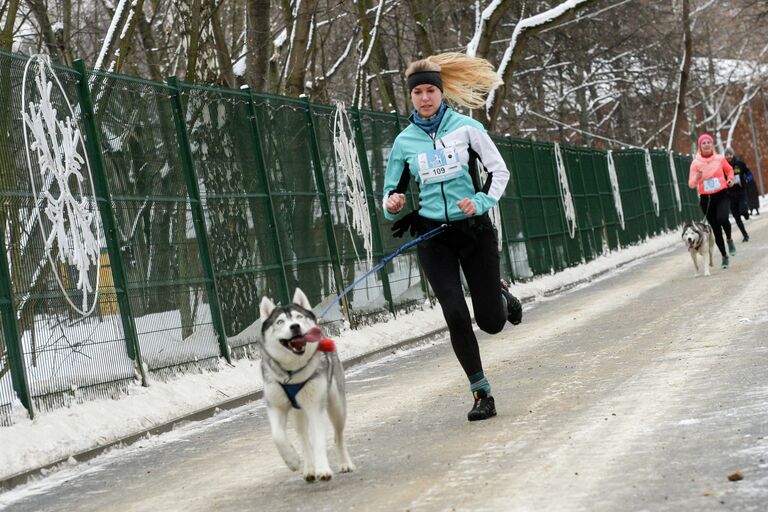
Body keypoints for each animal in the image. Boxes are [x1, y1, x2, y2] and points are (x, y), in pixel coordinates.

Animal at [258, 290, 354, 482]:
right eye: (280, 321)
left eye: (299, 317)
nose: (295, 326)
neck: (292, 373)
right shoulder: (275, 406)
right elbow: (277, 436)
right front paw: (292, 460)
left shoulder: (315, 406)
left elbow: (319, 441)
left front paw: (323, 469)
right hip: (298, 414)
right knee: (303, 438)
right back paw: (309, 468)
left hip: (337, 407)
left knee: (338, 436)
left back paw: (345, 463)